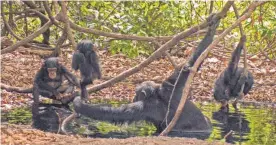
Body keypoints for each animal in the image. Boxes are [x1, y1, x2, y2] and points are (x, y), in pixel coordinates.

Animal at [72, 13, 221, 137]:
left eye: (136, 94)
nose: (133, 97)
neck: (156, 94)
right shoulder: (171, 84)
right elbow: (191, 63)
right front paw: (212, 27)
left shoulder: (144, 107)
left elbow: (115, 113)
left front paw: (80, 104)